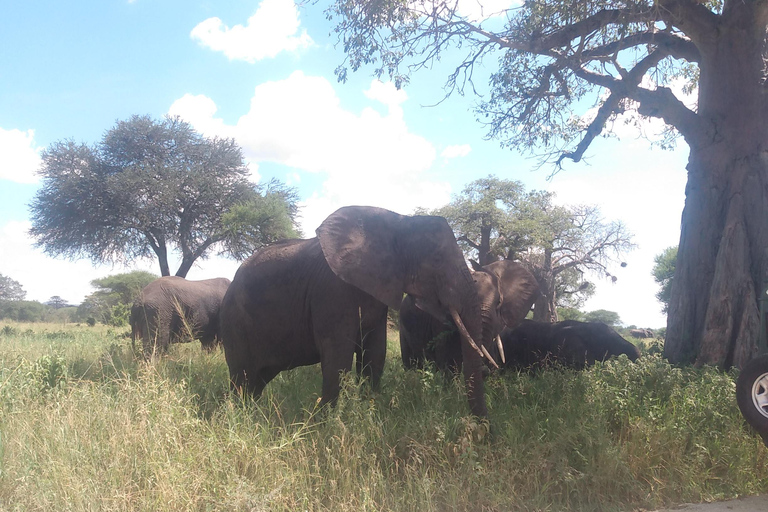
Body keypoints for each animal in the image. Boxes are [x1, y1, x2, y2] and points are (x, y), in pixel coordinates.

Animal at [216, 206, 492, 418]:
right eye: (435, 260)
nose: (483, 431)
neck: (398, 222)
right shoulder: (332, 291)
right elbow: (338, 357)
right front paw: (326, 425)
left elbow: (375, 353)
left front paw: (368, 415)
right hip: (235, 322)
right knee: (242, 378)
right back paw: (240, 418)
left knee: (256, 381)